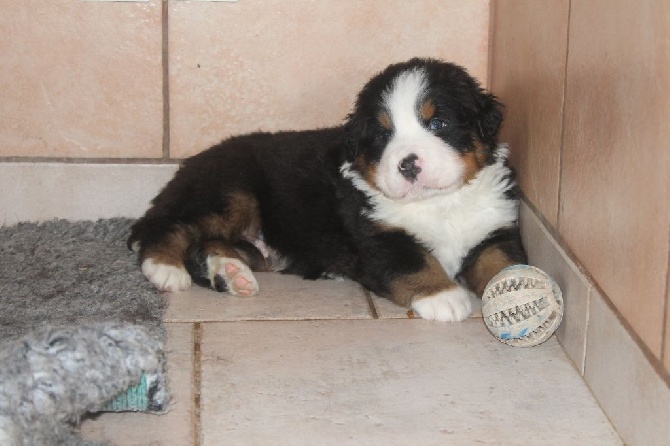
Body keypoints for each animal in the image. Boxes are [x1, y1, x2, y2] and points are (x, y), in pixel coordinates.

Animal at [130, 58, 532, 320]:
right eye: (383, 135)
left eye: (439, 123)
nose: (407, 163)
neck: (439, 205)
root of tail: (189, 163)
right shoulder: (377, 237)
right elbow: (415, 261)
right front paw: (444, 296)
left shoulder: (494, 228)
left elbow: (501, 260)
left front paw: (520, 288)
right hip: (230, 191)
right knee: (170, 227)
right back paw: (164, 268)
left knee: (207, 243)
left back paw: (232, 275)